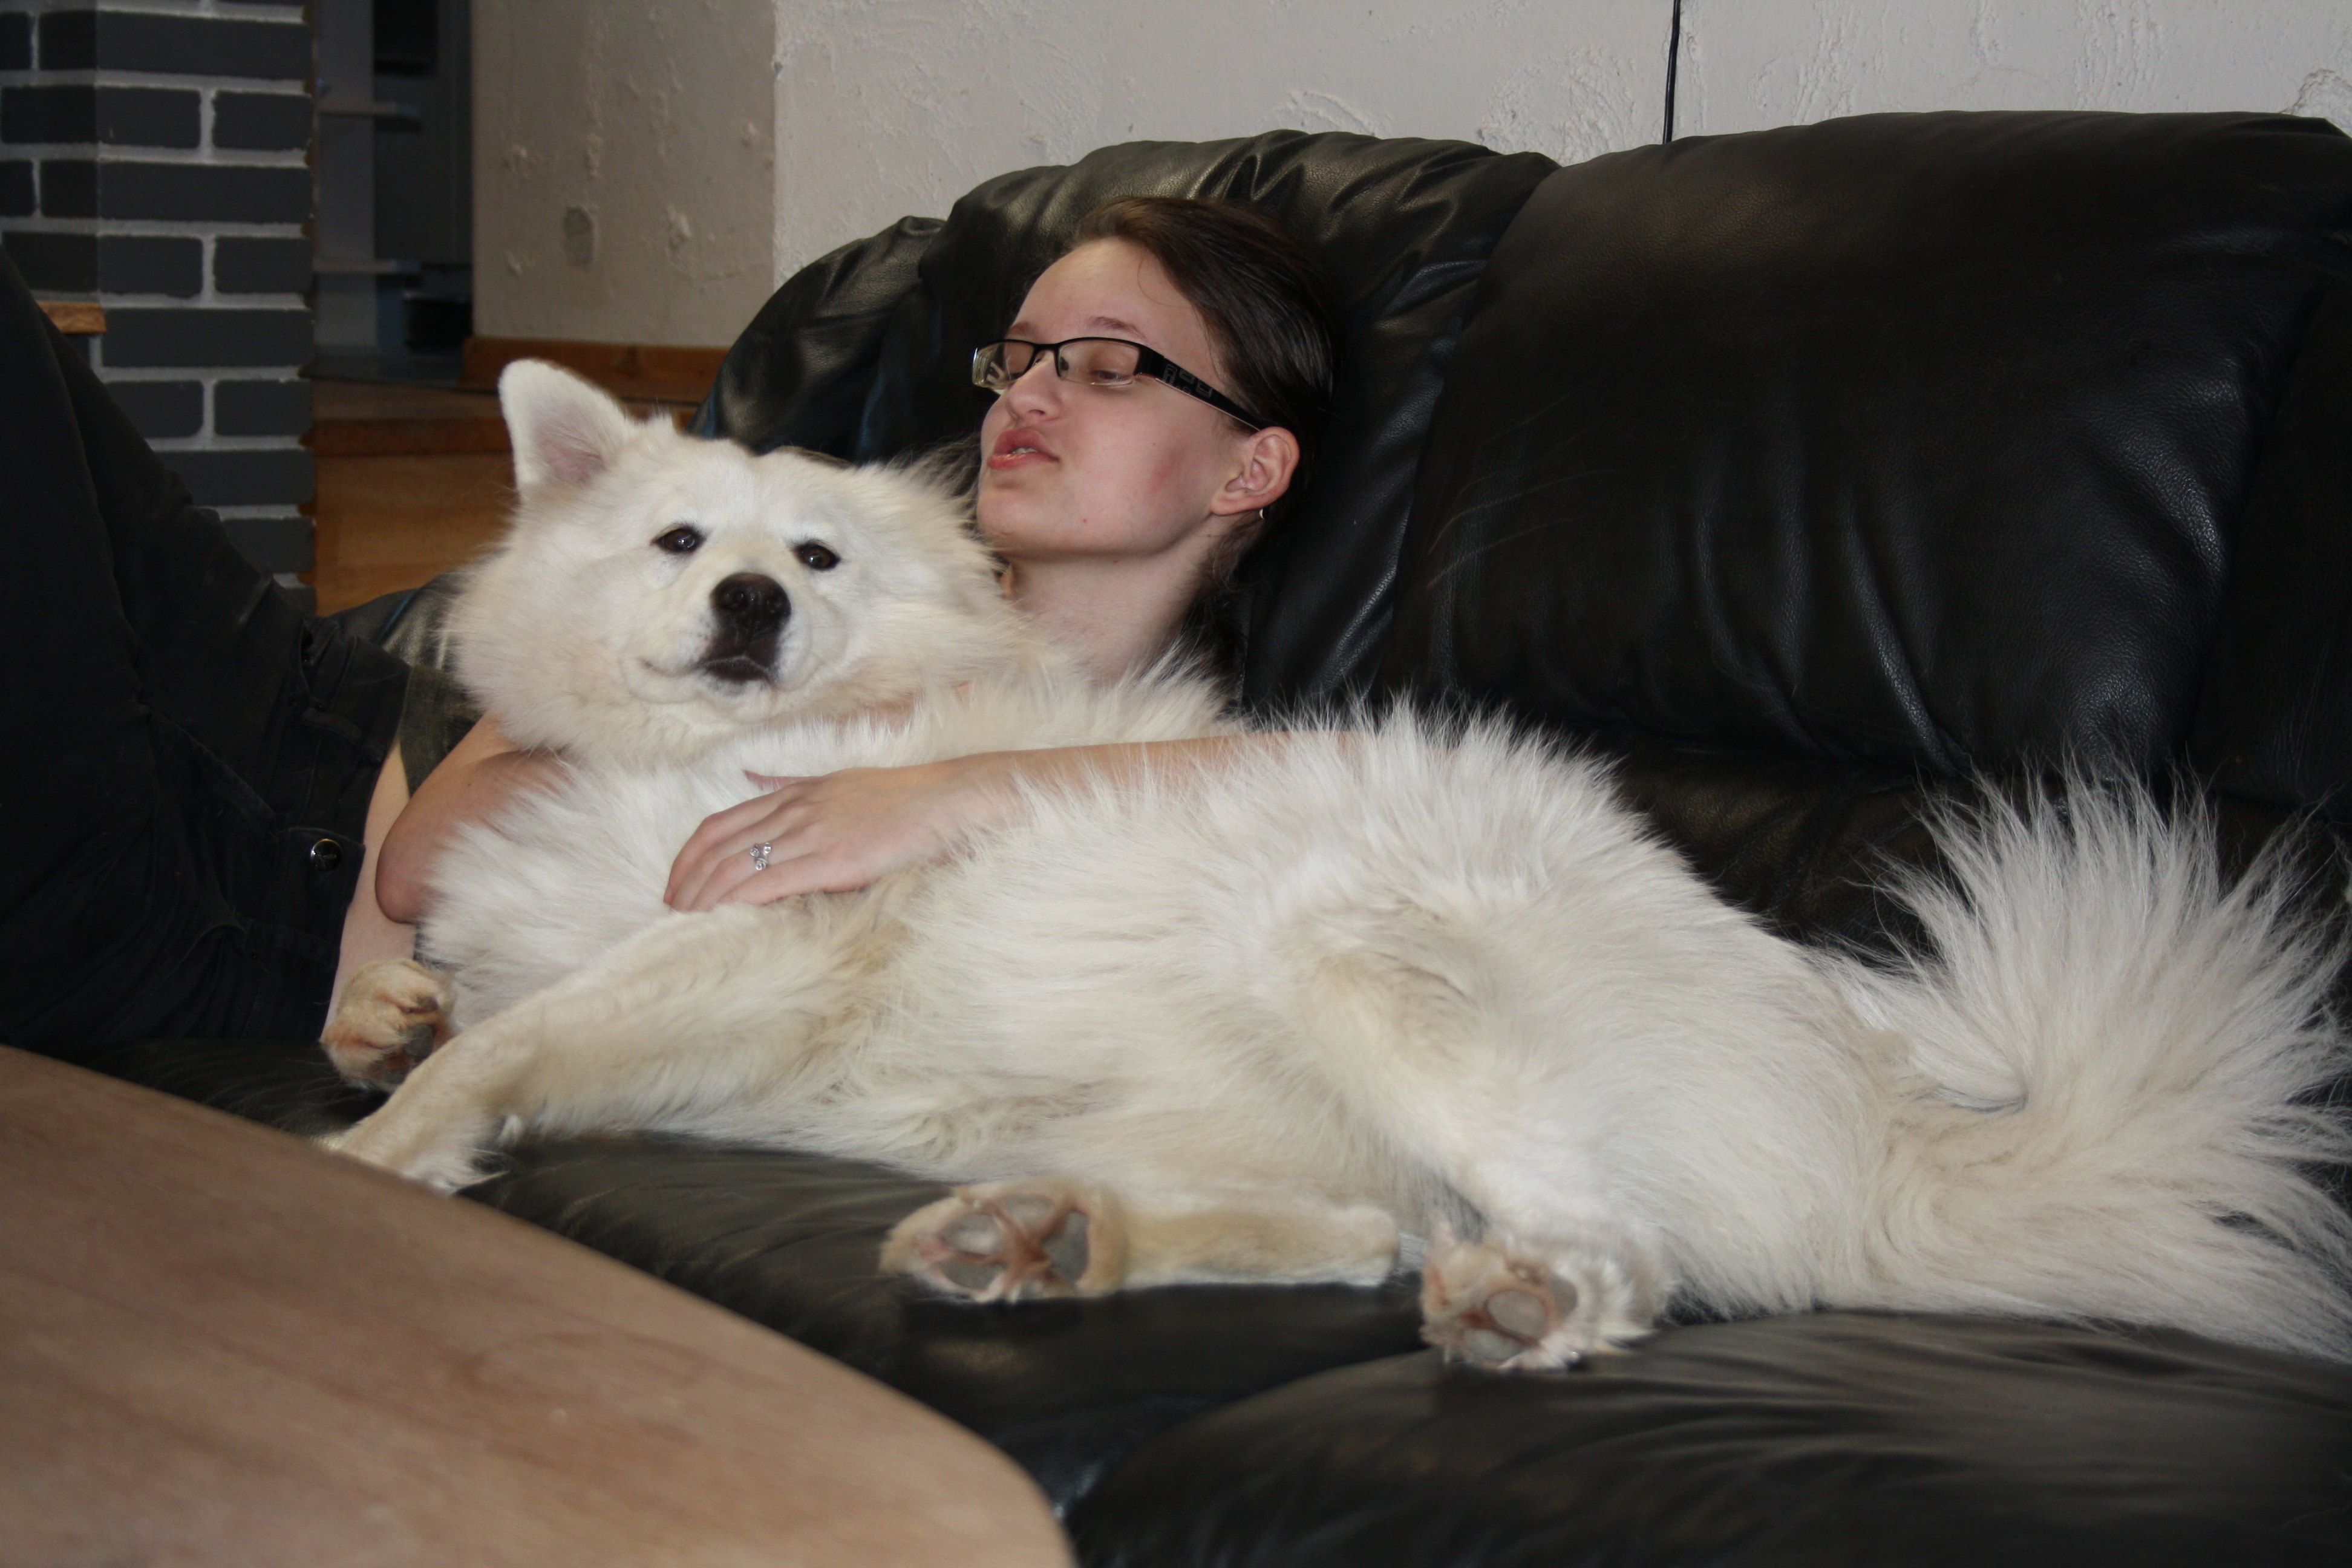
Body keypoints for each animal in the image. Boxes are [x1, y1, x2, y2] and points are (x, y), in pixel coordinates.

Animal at [327, 362, 2352, 1363]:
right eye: (684, 540)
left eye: (813, 561)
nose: (750, 604)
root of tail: (1877, 1128)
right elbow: (471, 1011)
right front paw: (383, 1035)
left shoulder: (751, 933)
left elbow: (509, 1042)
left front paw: (371, 1154)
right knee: (1379, 1234)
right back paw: (1050, 1242)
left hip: (1348, 946)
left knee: (1610, 1251)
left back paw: (1527, 1313)